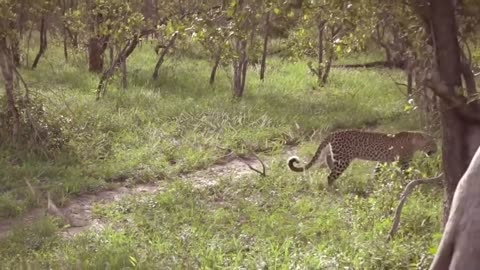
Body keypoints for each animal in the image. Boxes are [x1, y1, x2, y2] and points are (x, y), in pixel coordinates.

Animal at [286, 129, 436, 186]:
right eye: (433, 143)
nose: (435, 150)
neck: (415, 141)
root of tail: (333, 133)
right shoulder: (404, 162)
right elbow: (407, 174)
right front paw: (411, 182)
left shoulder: (383, 161)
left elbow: (377, 171)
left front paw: (375, 182)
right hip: (343, 160)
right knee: (330, 176)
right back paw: (333, 187)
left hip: (336, 155)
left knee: (329, 162)